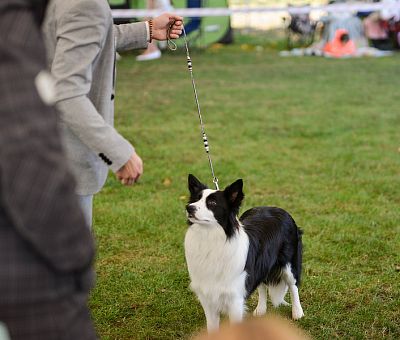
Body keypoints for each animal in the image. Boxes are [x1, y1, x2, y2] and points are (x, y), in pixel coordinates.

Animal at [184, 175, 304, 332]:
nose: (189, 207)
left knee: (293, 285)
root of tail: (279, 209)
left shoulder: (234, 299)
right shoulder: (208, 298)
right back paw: (261, 309)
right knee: (262, 285)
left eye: (212, 203)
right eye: (195, 199)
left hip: (289, 263)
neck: (210, 237)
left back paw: (297, 312)